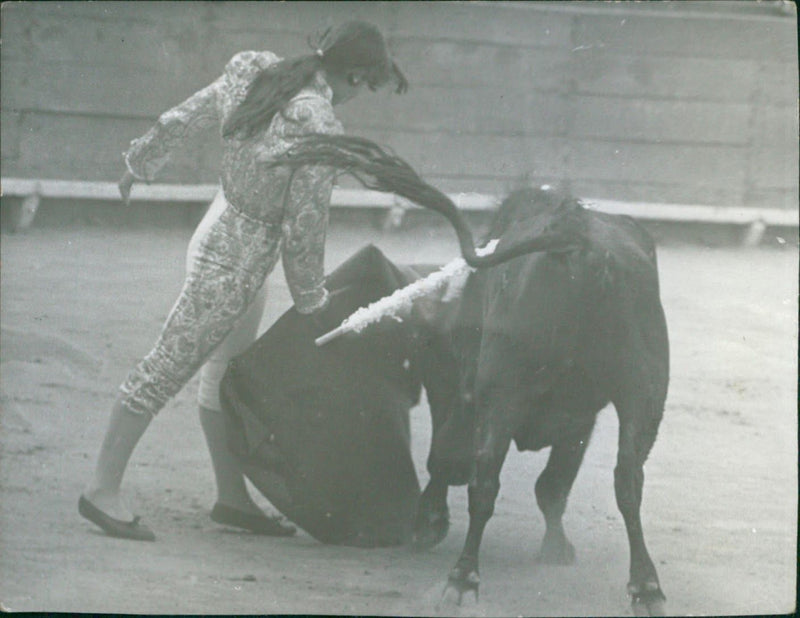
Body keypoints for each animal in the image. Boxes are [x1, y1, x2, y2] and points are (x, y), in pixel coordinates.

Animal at [217, 185, 668, 608]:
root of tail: (577, 241)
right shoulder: (576, 417)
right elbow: (551, 486)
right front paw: (555, 549)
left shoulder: (479, 395)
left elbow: (464, 465)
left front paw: (429, 523)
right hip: (640, 395)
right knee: (627, 480)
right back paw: (646, 588)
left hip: (510, 392)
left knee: (484, 481)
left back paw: (462, 579)